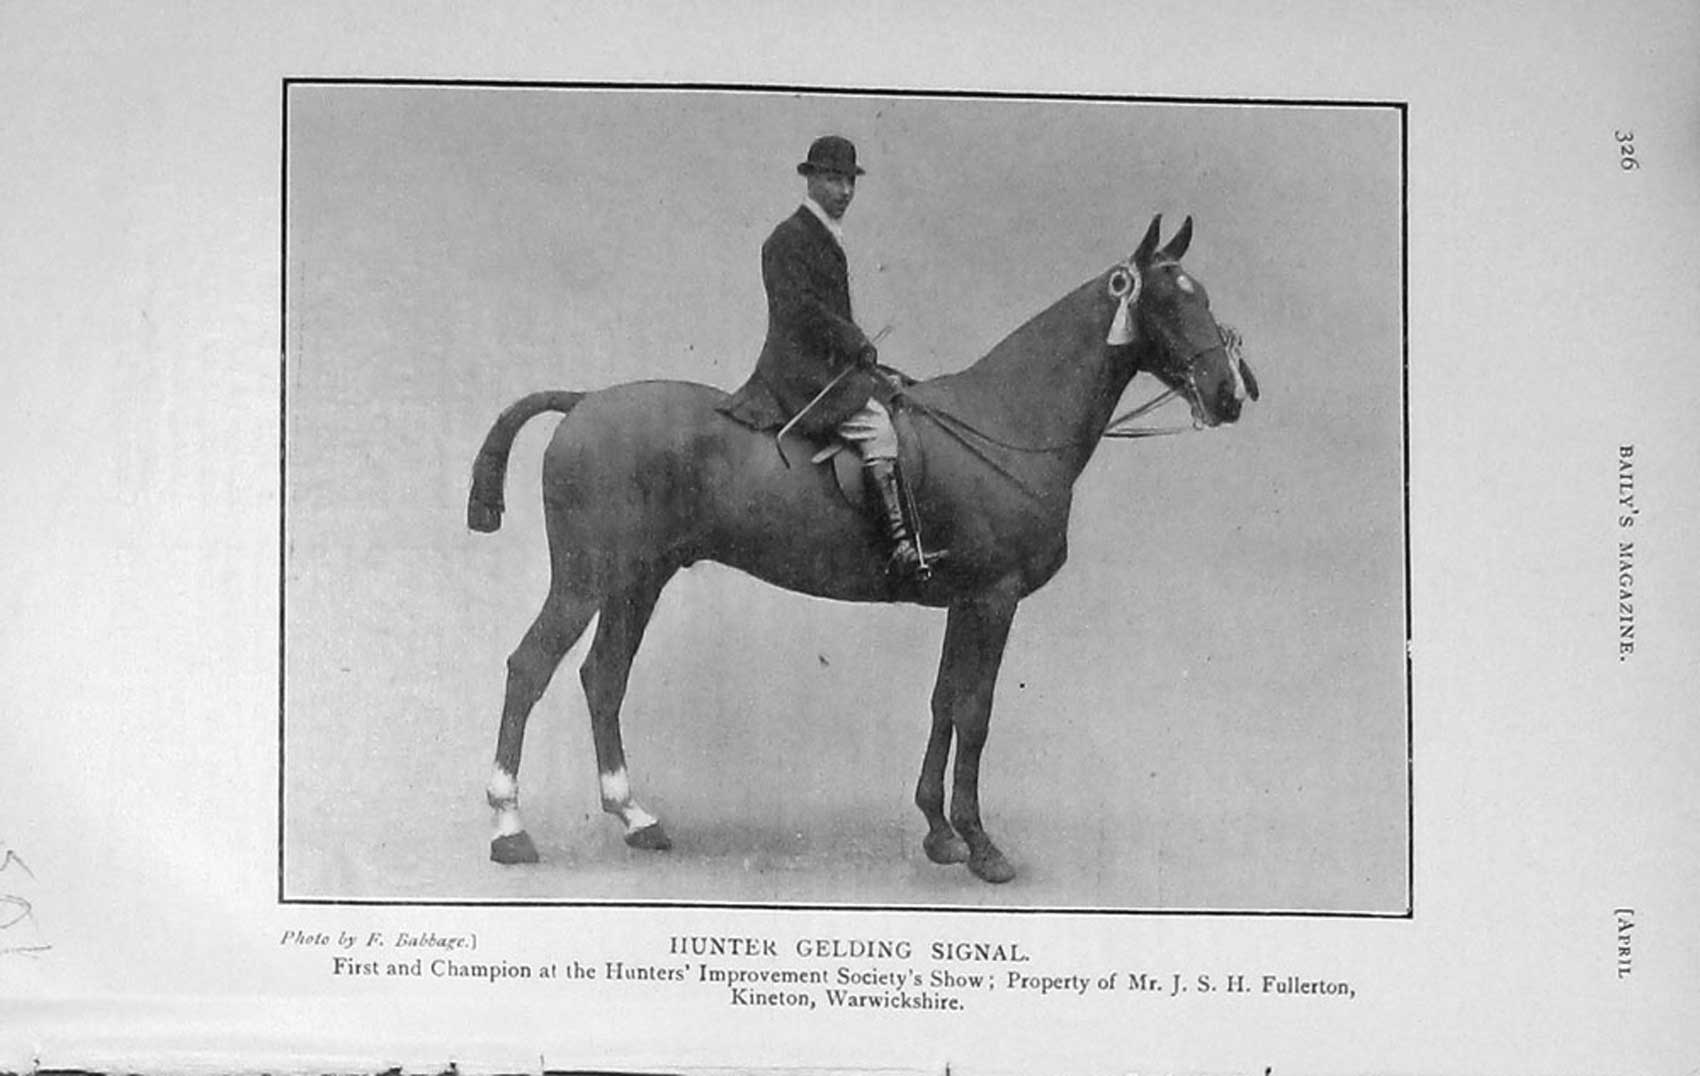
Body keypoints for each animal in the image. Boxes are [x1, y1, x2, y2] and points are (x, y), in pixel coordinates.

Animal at [466, 214, 1257, 884]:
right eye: (1167, 301)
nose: (1228, 394)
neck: (1007, 422)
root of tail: (585, 402)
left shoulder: (965, 602)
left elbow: (943, 703)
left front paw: (939, 833)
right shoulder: (994, 600)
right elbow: (976, 713)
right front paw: (982, 846)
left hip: (639, 579)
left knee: (603, 677)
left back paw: (636, 818)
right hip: (586, 579)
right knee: (529, 667)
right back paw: (510, 829)